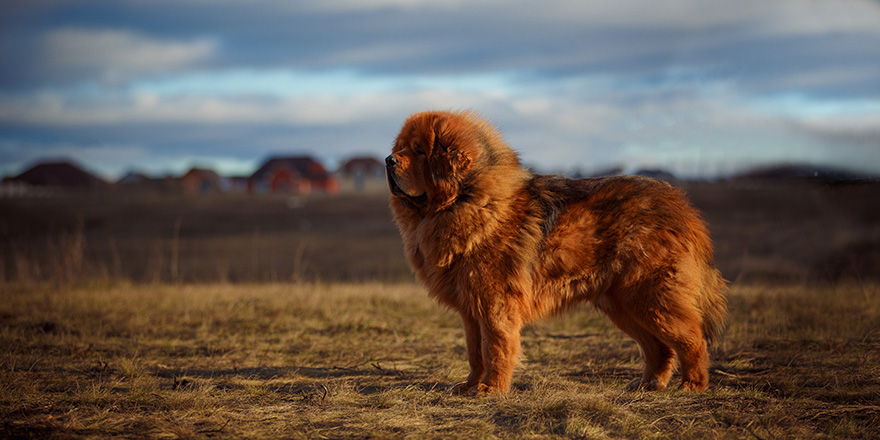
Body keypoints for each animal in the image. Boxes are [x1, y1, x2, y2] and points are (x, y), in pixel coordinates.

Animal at [386, 110, 728, 396]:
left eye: (419, 150)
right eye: (401, 148)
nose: (388, 160)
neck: (466, 199)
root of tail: (681, 205)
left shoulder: (495, 304)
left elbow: (495, 348)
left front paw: (491, 389)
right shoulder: (471, 309)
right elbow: (474, 353)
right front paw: (470, 386)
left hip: (651, 296)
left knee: (692, 339)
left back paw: (692, 385)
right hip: (622, 304)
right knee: (659, 347)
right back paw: (648, 383)